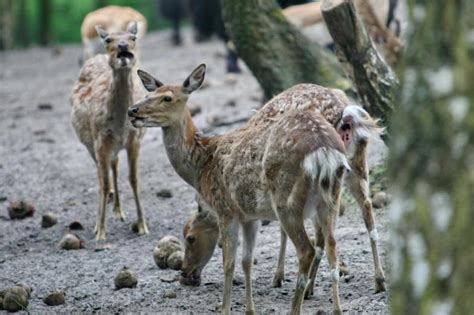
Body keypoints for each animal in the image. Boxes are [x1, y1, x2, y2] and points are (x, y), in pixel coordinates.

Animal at [70, 21, 148, 241]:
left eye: (133, 37)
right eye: (108, 40)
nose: (122, 46)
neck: (120, 124)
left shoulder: (134, 139)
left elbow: (134, 179)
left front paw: (142, 225)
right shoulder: (99, 141)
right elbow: (104, 184)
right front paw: (100, 231)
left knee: (114, 165)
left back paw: (119, 212)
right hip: (90, 144)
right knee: (100, 176)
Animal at [128, 65, 350, 314]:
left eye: (167, 98)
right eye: (149, 94)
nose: (132, 110)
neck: (202, 165)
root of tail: (324, 149)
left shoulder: (226, 210)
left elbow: (229, 262)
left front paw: (225, 308)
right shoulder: (249, 216)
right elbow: (246, 261)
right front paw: (249, 309)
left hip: (287, 201)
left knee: (307, 250)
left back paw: (296, 305)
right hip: (331, 197)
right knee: (332, 244)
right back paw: (336, 308)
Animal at [180, 83, 386, 296]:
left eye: (190, 237)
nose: (185, 273)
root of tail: (346, 114)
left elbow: (282, 228)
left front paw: (278, 277)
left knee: (322, 234)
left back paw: (309, 287)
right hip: (357, 167)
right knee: (366, 209)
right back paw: (379, 280)